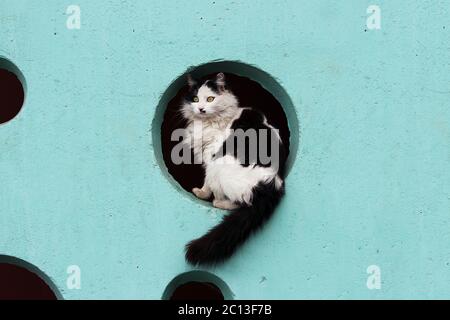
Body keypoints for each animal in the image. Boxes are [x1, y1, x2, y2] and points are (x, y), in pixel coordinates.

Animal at [178, 72, 284, 264]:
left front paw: (201, 193)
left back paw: (218, 202)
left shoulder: (211, 157)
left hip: (222, 167)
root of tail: (273, 183)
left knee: (233, 202)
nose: (201, 109)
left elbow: (207, 183)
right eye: (195, 99)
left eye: (210, 99)